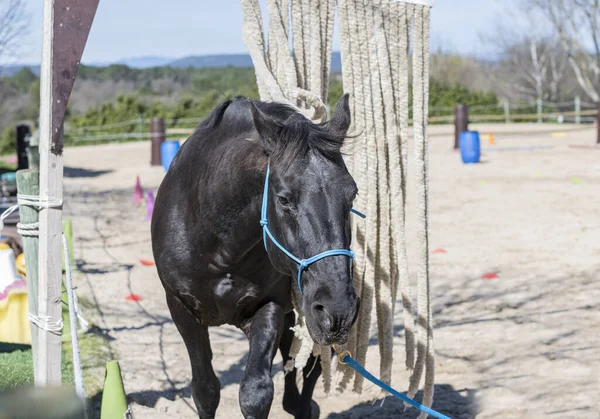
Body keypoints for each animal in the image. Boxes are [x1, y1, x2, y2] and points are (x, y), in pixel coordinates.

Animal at [152, 95, 358, 419]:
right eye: (284, 199)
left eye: (352, 195)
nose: (338, 311)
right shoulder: (182, 308)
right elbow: (205, 390)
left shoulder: (270, 305)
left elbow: (256, 393)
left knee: (309, 372)